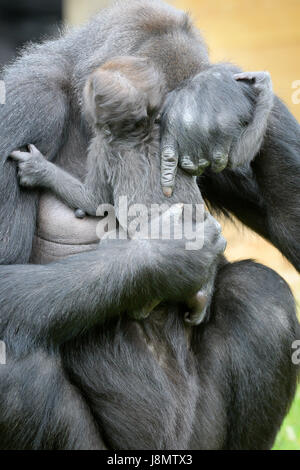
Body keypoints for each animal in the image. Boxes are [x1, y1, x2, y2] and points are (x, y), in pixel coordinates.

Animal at [0, 0, 298, 450]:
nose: (191, 163)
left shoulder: (216, 139)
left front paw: (216, 93)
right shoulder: (23, 104)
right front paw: (169, 255)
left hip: (197, 440)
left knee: (264, 297)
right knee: (11, 360)